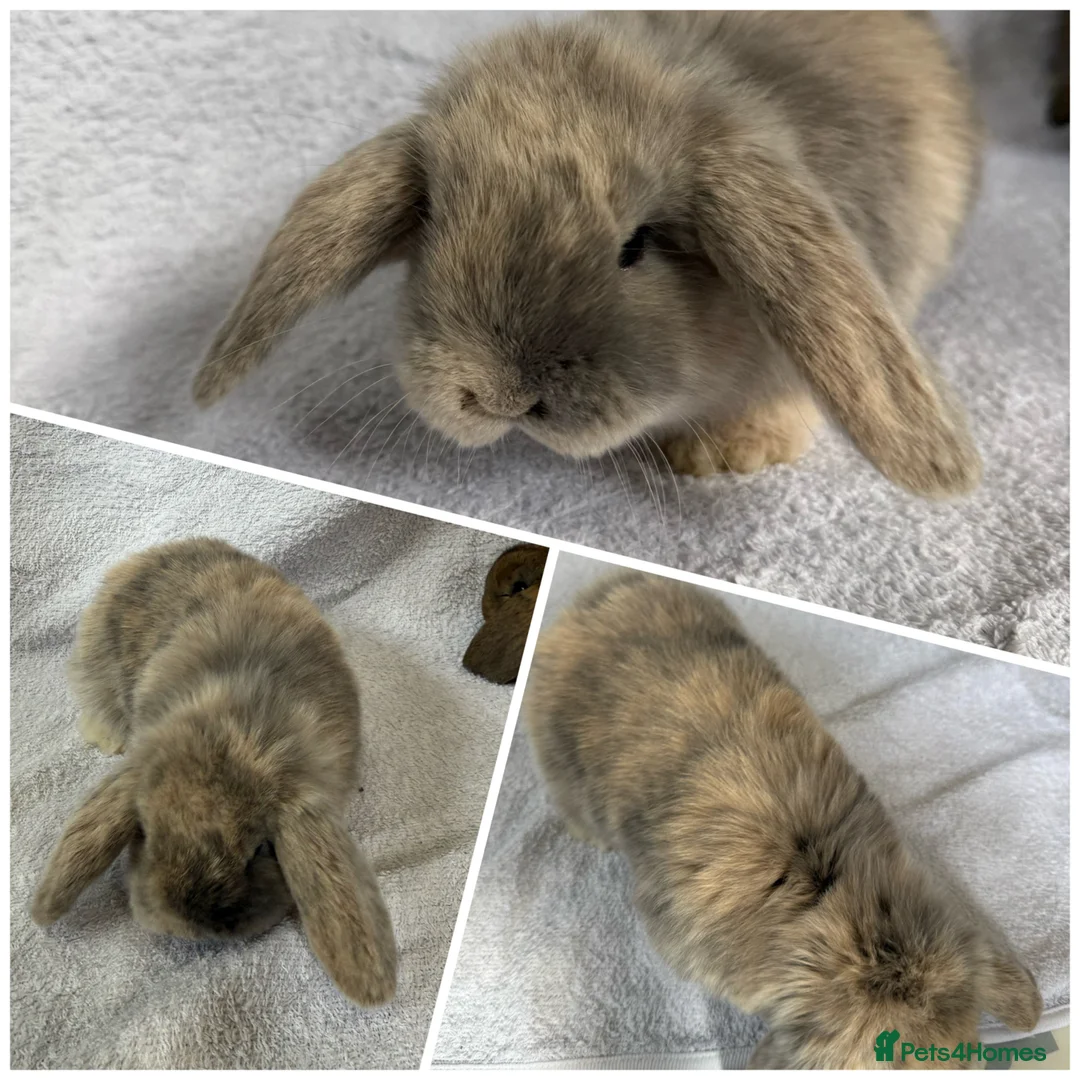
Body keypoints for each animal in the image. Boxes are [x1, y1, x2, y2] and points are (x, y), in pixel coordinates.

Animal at [31, 538, 397, 1008]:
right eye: (145, 832)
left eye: (260, 850)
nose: (188, 926)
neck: (238, 732)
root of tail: (149, 555)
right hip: (98, 662)